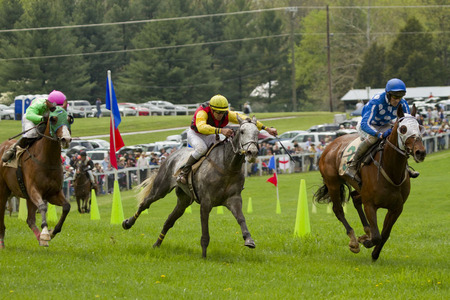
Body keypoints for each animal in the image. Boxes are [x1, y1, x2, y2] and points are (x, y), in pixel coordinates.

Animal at [0, 103, 73, 248]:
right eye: (53, 119)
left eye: (69, 118)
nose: (66, 139)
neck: (47, 159)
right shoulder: (34, 189)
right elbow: (43, 206)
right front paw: (45, 233)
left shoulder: (53, 193)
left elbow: (66, 207)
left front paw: (51, 233)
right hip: (3, 191)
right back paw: (2, 243)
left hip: (26, 196)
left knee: (30, 219)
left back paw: (40, 238)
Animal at [122, 116, 260, 256]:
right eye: (242, 131)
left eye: (257, 132)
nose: (252, 152)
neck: (227, 166)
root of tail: (171, 155)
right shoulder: (206, 202)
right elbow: (205, 232)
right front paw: (204, 256)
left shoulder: (234, 199)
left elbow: (241, 219)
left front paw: (249, 240)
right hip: (160, 189)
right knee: (145, 204)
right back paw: (127, 223)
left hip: (184, 200)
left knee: (169, 221)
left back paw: (157, 244)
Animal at [314, 105, 428, 260]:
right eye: (403, 129)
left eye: (420, 127)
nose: (420, 152)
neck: (391, 171)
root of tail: (330, 144)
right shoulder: (370, 205)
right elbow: (376, 236)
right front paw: (366, 241)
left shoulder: (396, 208)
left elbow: (384, 234)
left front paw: (374, 252)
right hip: (333, 184)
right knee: (338, 210)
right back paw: (354, 241)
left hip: (358, 188)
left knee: (355, 198)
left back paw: (365, 232)